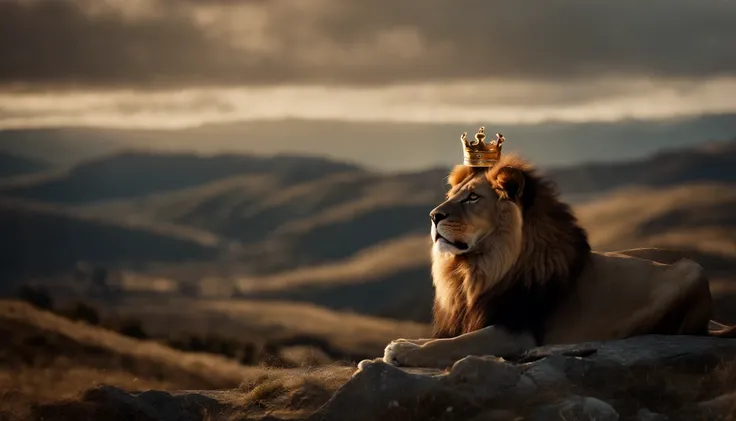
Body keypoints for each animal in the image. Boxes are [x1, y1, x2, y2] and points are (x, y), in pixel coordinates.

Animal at [368, 153, 736, 368]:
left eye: (473, 197)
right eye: (453, 196)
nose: (433, 216)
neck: (477, 268)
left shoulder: (516, 332)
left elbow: (457, 343)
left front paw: (405, 351)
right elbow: (446, 338)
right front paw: (404, 342)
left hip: (692, 270)